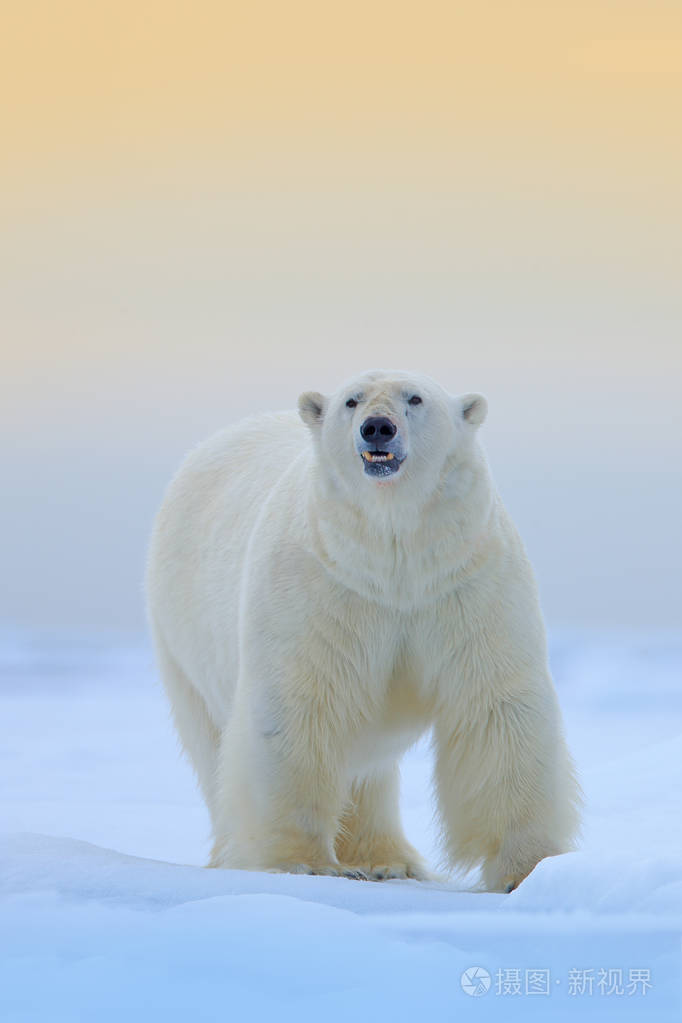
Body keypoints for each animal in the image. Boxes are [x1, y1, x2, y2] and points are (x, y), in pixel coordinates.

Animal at [145, 369, 580, 891]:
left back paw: (387, 861)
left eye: (415, 397)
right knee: (213, 744)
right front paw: (301, 861)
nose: (378, 428)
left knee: (368, 766)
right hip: (181, 639)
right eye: (351, 401)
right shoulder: (322, 584)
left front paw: (527, 868)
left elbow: (495, 704)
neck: (395, 558)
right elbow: (300, 704)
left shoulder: (466, 581)